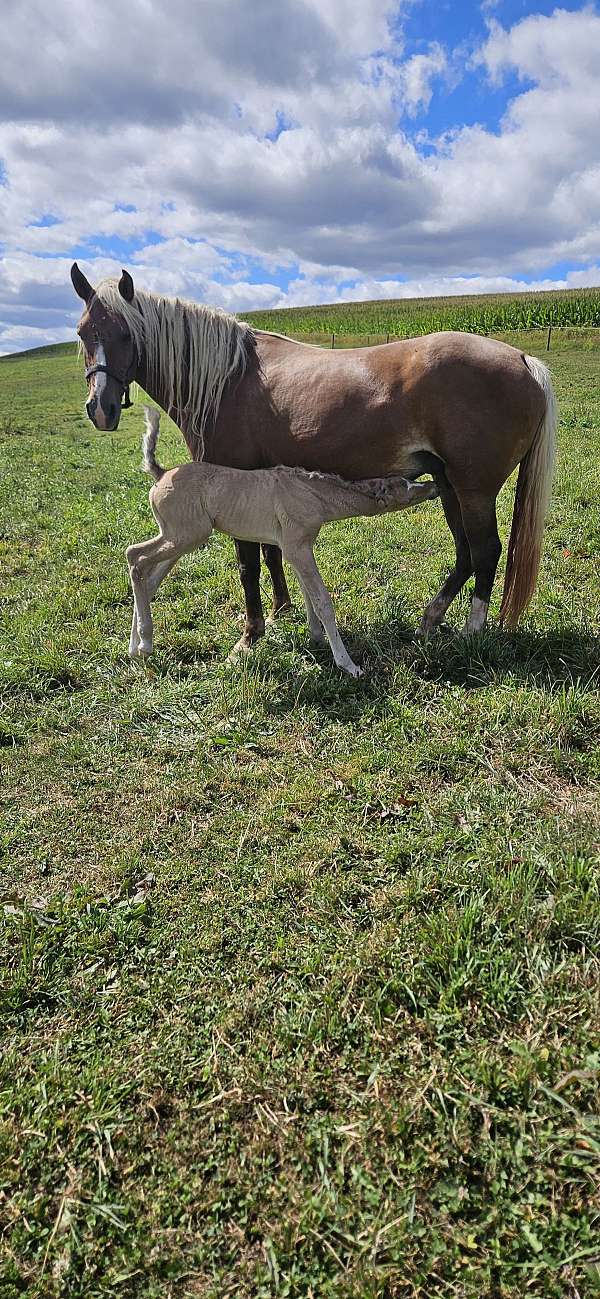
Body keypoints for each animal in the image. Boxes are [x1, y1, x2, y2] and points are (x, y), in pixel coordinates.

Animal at [71, 263, 557, 647]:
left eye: (125, 333)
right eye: (82, 333)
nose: (101, 409)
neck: (230, 378)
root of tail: (523, 358)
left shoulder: (233, 479)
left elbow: (248, 563)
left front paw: (251, 633)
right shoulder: (260, 487)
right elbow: (270, 554)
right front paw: (283, 610)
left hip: (474, 490)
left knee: (486, 551)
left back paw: (473, 631)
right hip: (448, 485)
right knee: (465, 554)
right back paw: (430, 619)